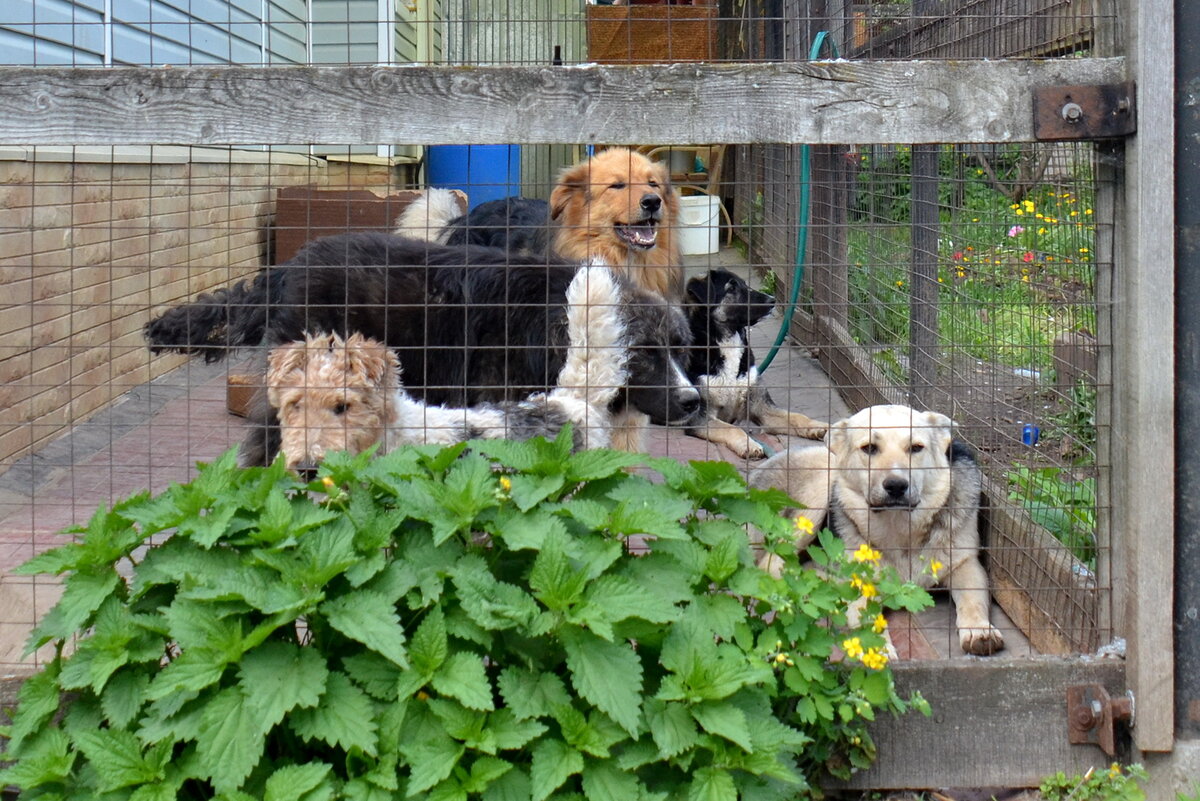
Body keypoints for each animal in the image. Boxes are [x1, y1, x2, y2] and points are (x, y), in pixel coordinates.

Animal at [686, 268, 825, 455]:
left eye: (745, 284)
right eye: (732, 288)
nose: (772, 300)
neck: (729, 341)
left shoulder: (762, 408)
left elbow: (796, 416)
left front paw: (819, 426)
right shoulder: (699, 417)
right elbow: (732, 428)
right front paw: (748, 444)